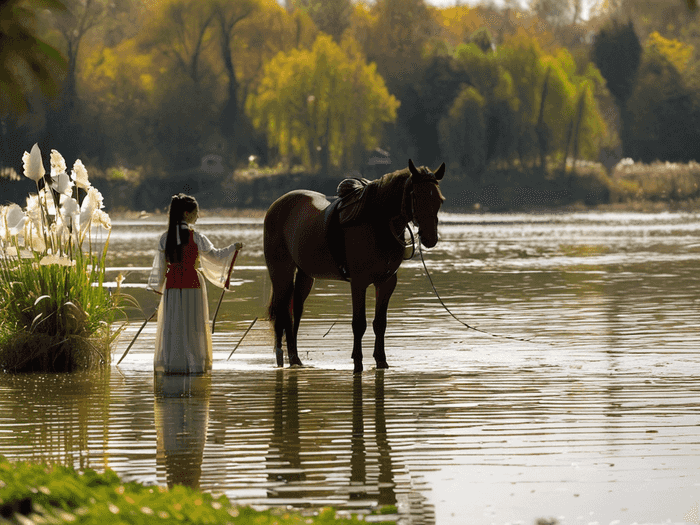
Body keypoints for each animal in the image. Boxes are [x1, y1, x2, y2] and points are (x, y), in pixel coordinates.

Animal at [262, 159, 442, 372]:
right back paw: (285, 357)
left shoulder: (386, 282)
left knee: (294, 311)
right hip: (281, 271)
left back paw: (295, 358)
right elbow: (359, 324)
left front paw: (381, 361)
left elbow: (380, 323)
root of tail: (275, 206)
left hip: (305, 274)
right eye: (416, 196)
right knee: (282, 311)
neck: (377, 223)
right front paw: (358, 362)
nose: (430, 238)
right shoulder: (359, 283)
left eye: (439, 200)